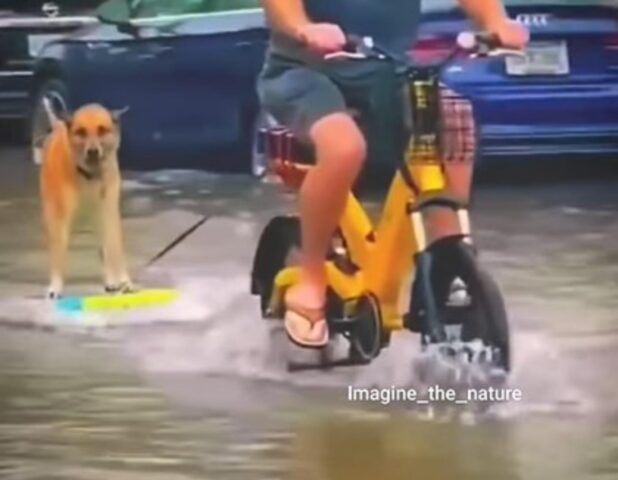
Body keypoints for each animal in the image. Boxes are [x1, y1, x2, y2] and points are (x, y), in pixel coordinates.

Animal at [39, 103, 132, 298]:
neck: (90, 176)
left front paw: (122, 280)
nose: (93, 151)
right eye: (81, 132)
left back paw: (112, 280)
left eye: (102, 130)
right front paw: (56, 286)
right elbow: (58, 253)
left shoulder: (109, 212)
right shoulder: (59, 219)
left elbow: (113, 247)